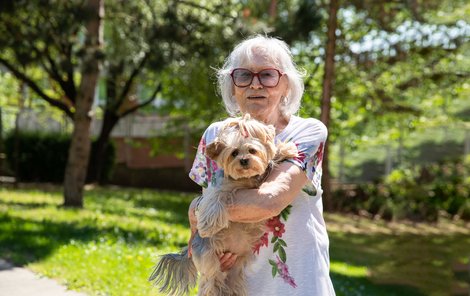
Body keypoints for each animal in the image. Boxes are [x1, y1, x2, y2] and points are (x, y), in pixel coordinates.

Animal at [151, 115, 298, 296]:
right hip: (209, 257)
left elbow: (269, 162)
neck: (245, 179)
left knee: (230, 282)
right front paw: (208, 225)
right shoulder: (221, 188)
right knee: (211, 281)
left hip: (237, 267)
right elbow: (215, 200)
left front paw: (285, 149)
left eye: (252, 150)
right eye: (234, 153)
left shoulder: (261, 179)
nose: (244, 160)